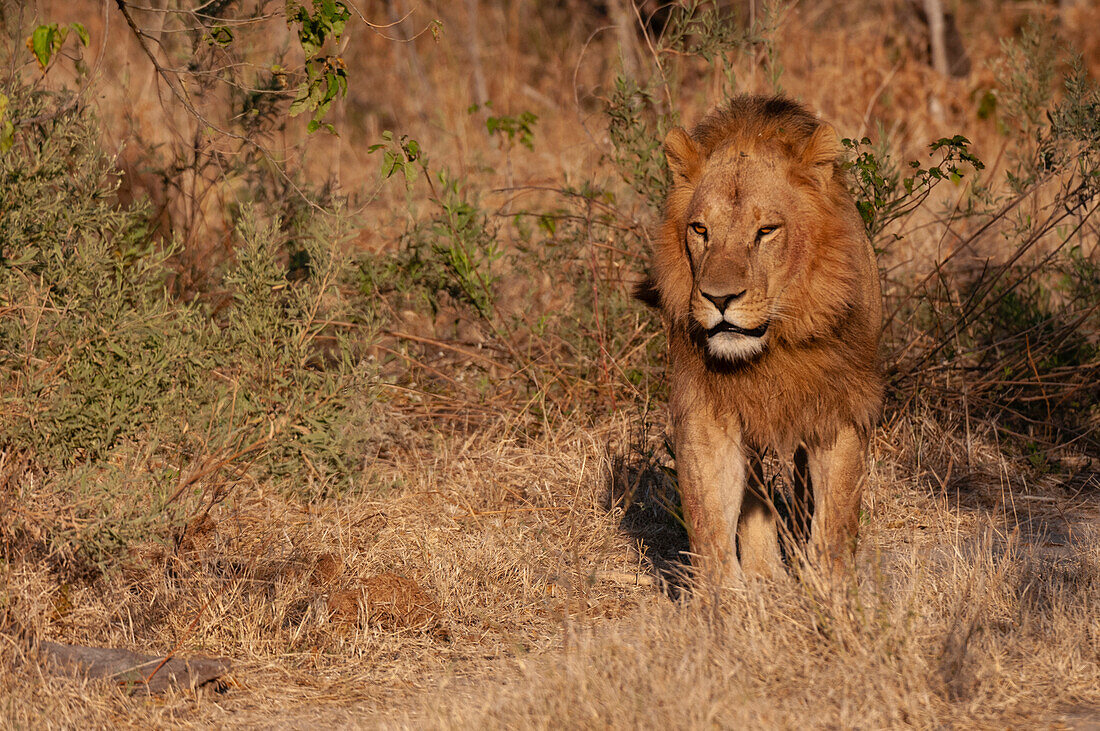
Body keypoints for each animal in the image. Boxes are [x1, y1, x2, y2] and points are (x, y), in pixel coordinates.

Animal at [642, 93, 880, 584]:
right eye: (700, 229)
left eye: (766, 231)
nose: (719, 298)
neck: (774, 348)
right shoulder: (706, 410)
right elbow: (710, 517)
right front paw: (728, 599)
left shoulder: (842, 409)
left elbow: (836, 517)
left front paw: (830, 591)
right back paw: (764, 573)